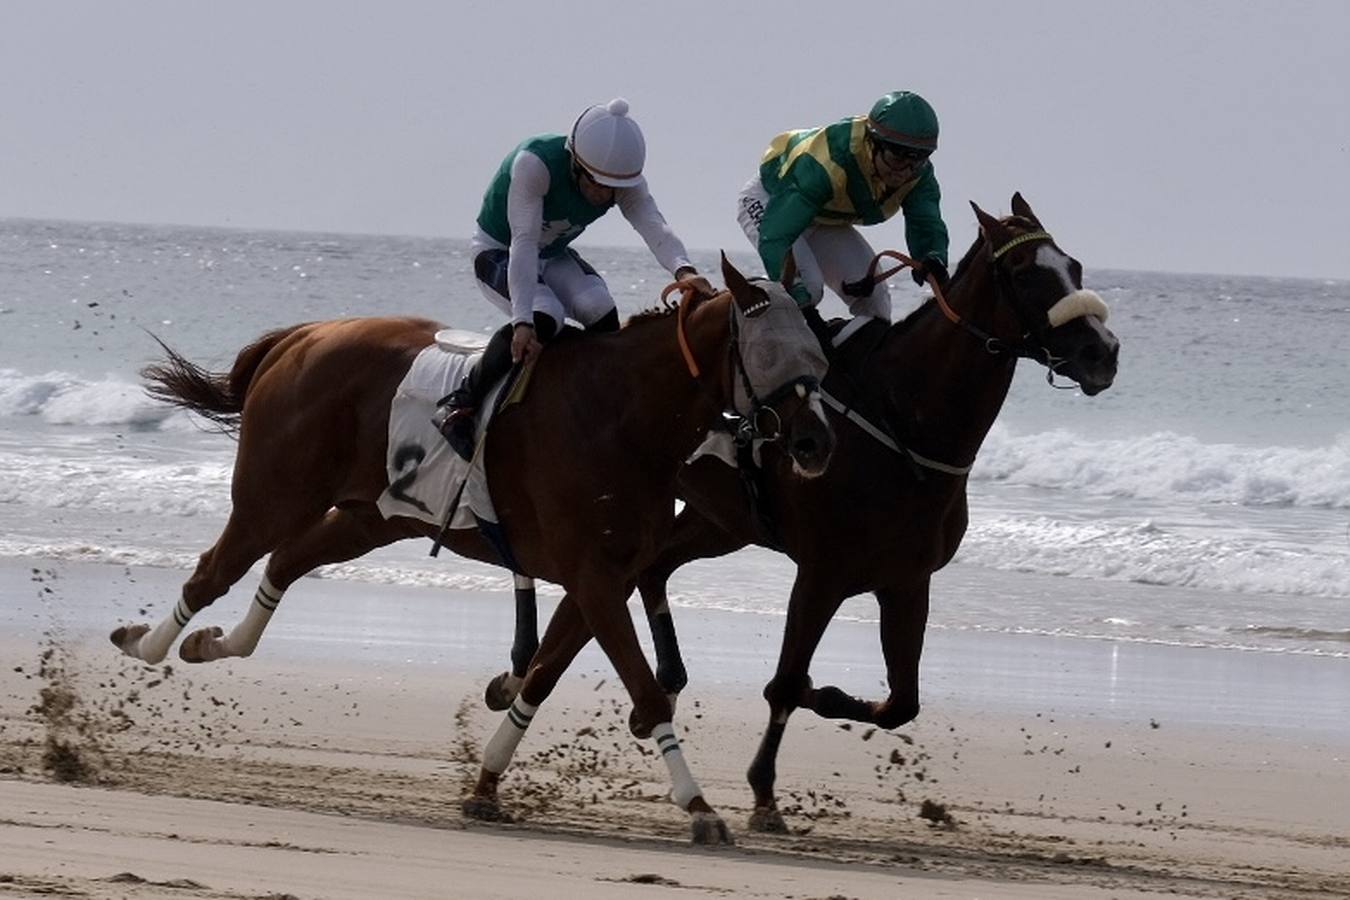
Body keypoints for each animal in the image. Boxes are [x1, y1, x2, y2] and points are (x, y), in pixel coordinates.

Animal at [110, 255, 831, 847]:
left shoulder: (602, 581)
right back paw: (145, 644)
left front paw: (485, 785)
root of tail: (302, 336)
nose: (815, 443)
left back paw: (208, 644)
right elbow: (646, 690)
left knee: (283, 563)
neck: (623, 416)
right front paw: (700, 808)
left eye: (818, 354)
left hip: (375, 516)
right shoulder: (596, 580)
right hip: (276, 494)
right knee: (215, 570)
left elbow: (540, 678)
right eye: (771, 352)